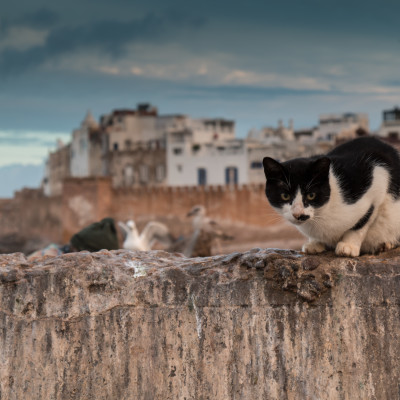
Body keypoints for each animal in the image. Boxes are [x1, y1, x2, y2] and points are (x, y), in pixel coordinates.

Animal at [260, 137, 400, 256]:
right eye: (285, 196)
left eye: (311, 195)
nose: (298, 214)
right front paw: (315, 243)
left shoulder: (377, 175)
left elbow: (361, 223)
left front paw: (348, 246)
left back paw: (386, 244)